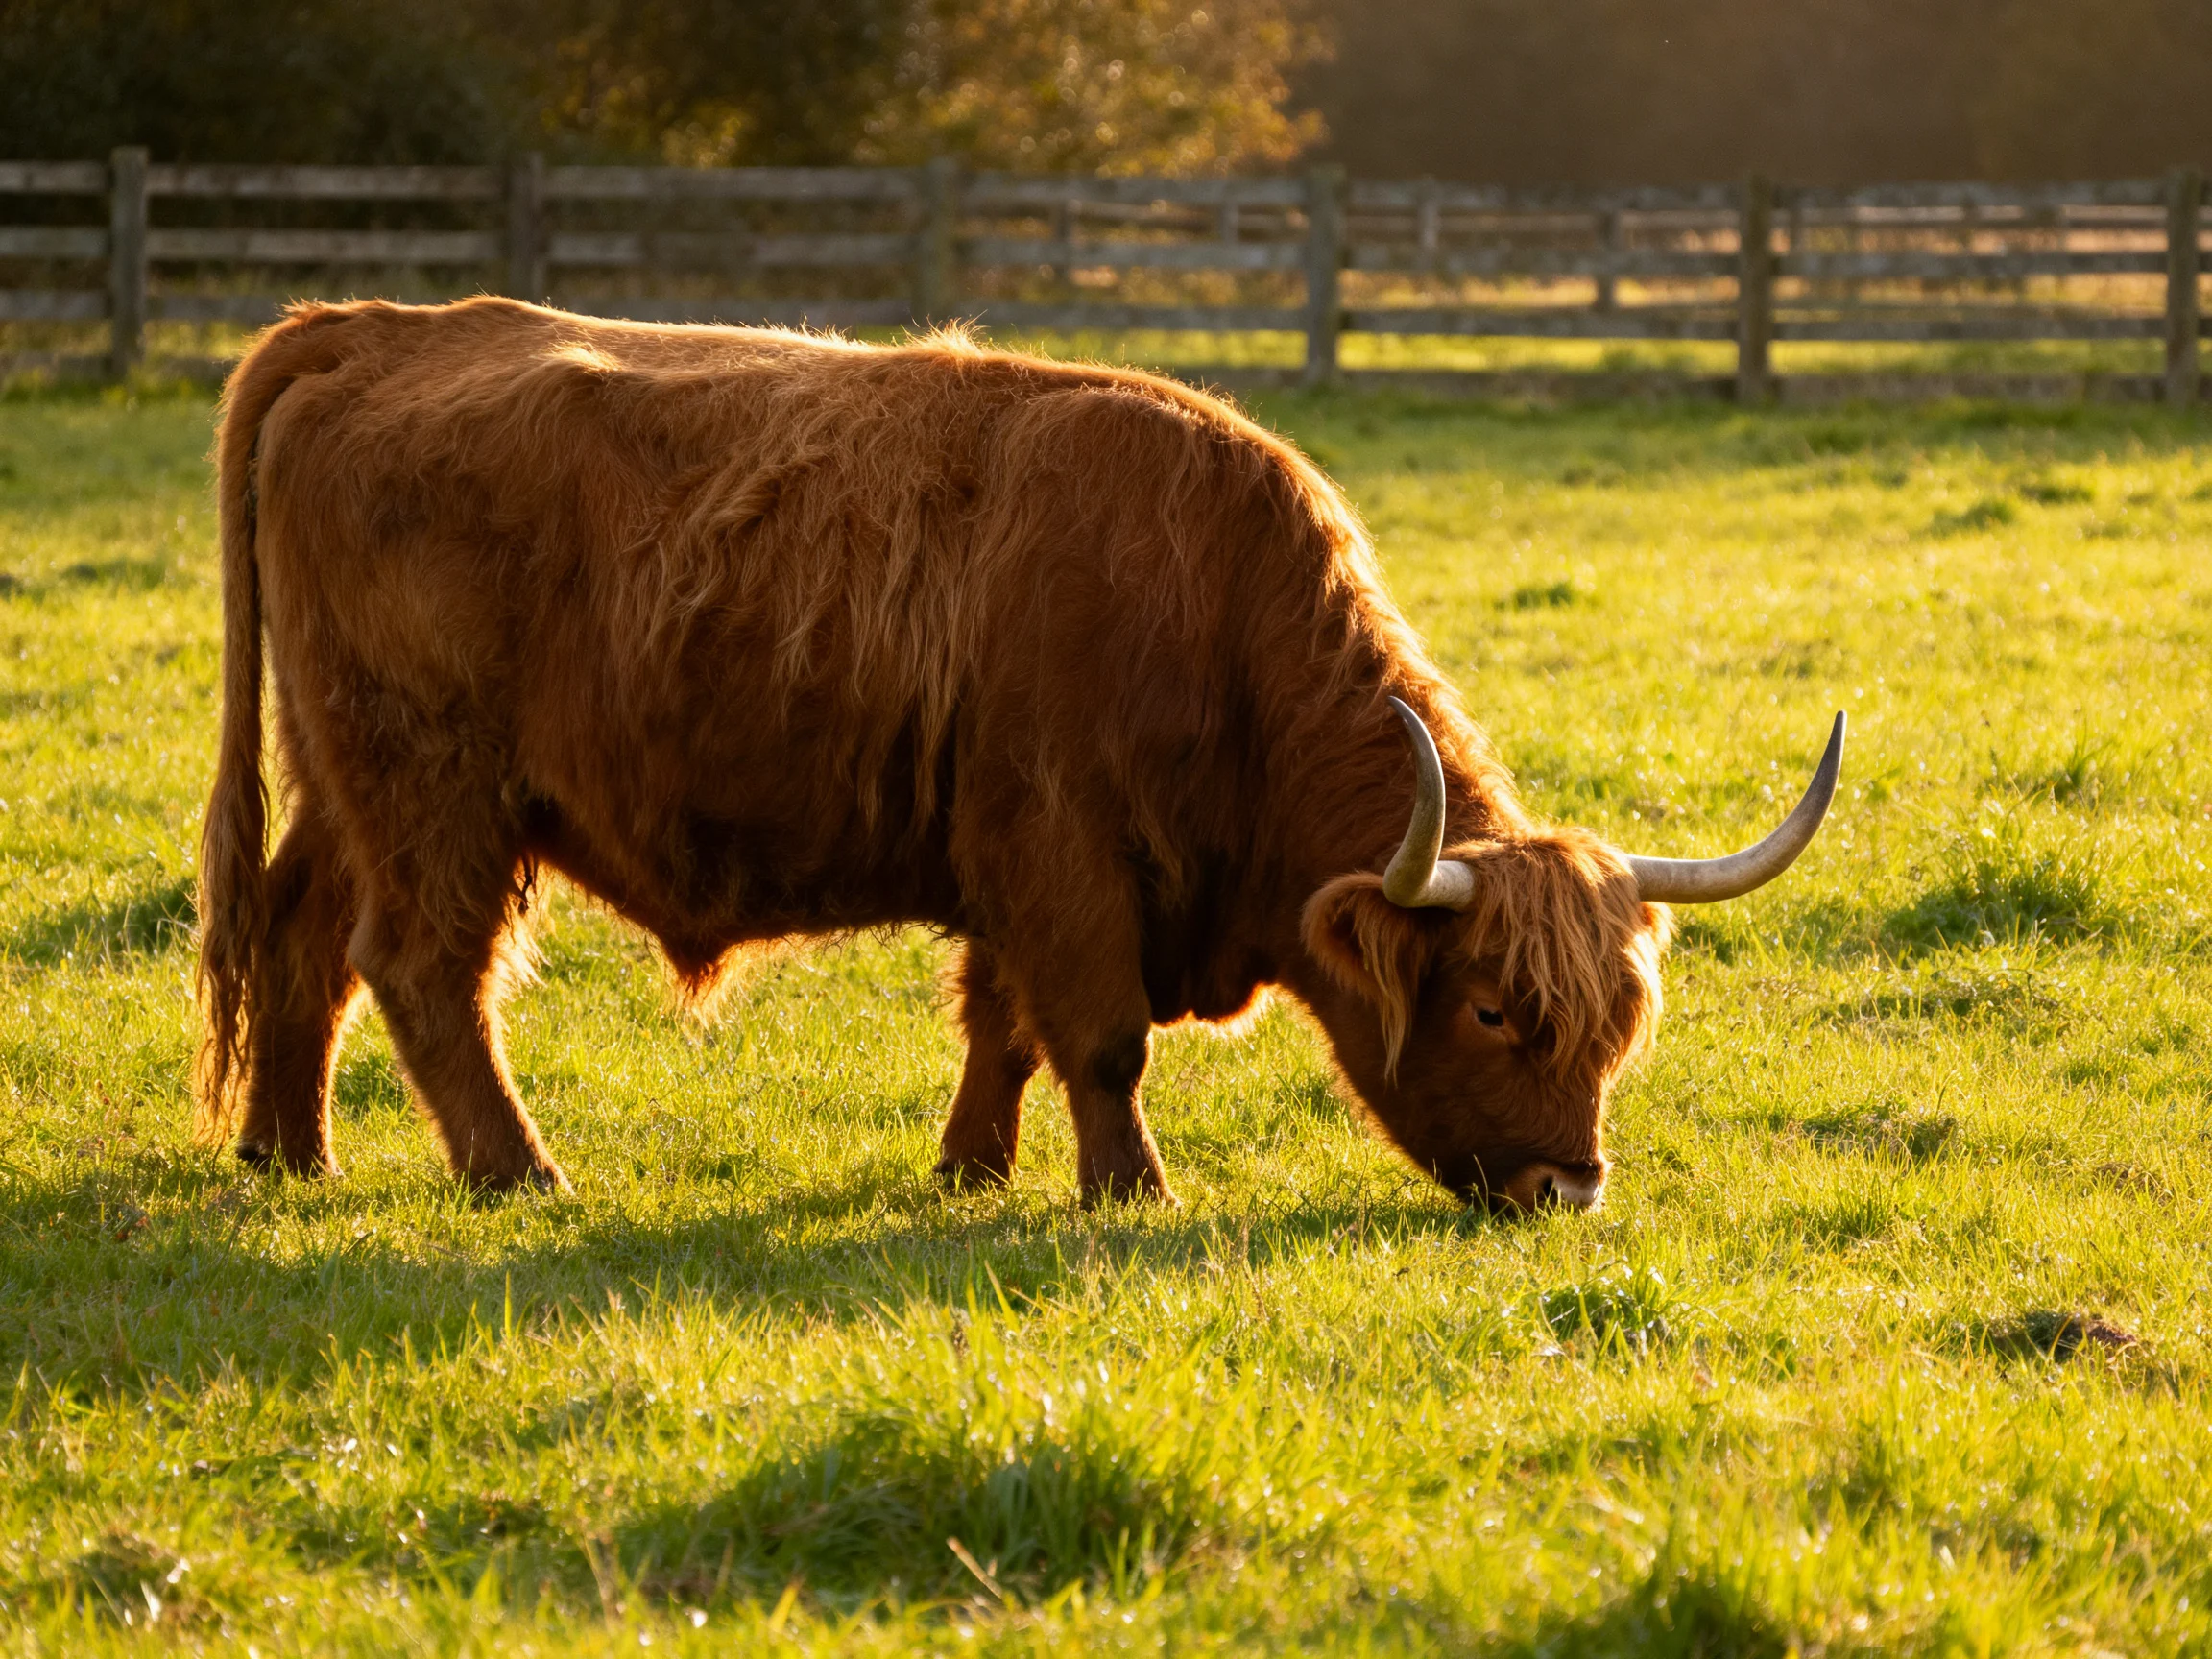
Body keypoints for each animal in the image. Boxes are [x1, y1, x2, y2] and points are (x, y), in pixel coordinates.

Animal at [195, 296, 1842, 1211]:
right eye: (1497, 1011)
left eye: (1619, 1024)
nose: (1570, 1189)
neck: (1216, 618)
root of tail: (368, 328)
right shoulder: (1064, 851)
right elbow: (1096, 1039)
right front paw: (1131, 1192)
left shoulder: (1006, 860)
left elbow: (1002, 1029)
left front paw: (967, 1170)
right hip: (435, 790)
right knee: (421, 971)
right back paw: (518, 1170)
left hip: (345, 781)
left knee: (299, 938)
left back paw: (289, 1154)